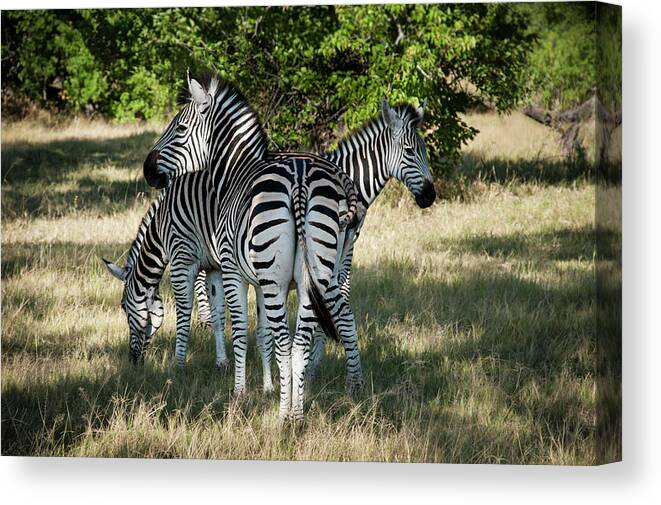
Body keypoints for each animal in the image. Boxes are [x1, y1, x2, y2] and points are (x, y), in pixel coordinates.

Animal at [127, 70, 356, 418]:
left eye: (179, 129)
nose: (147, 170)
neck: (233, 175)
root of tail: (300, 179)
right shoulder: (258, 279)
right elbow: (260, 333)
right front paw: (267, 387)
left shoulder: (229, 268)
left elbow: (238, 330)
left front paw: (239, 391)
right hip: (316, 275)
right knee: (301, 342)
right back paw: (300, 413)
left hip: (278, 279)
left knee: (287, 342)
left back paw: (284, 417)